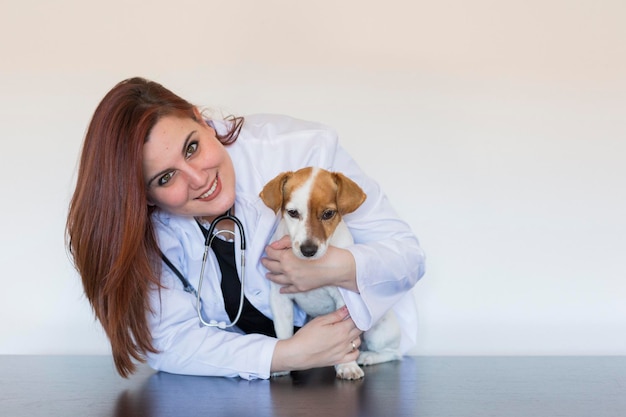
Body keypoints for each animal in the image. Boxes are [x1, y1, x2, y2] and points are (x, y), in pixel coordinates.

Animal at [258, 165, 400, 376]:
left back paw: (367, 356)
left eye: (328, 214)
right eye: (293, 213)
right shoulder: (280, 299)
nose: (308, 250)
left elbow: (346, 342)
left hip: (377, 329)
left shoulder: (344, 301)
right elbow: (283, 332)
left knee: (395, 353)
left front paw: (347, 366)